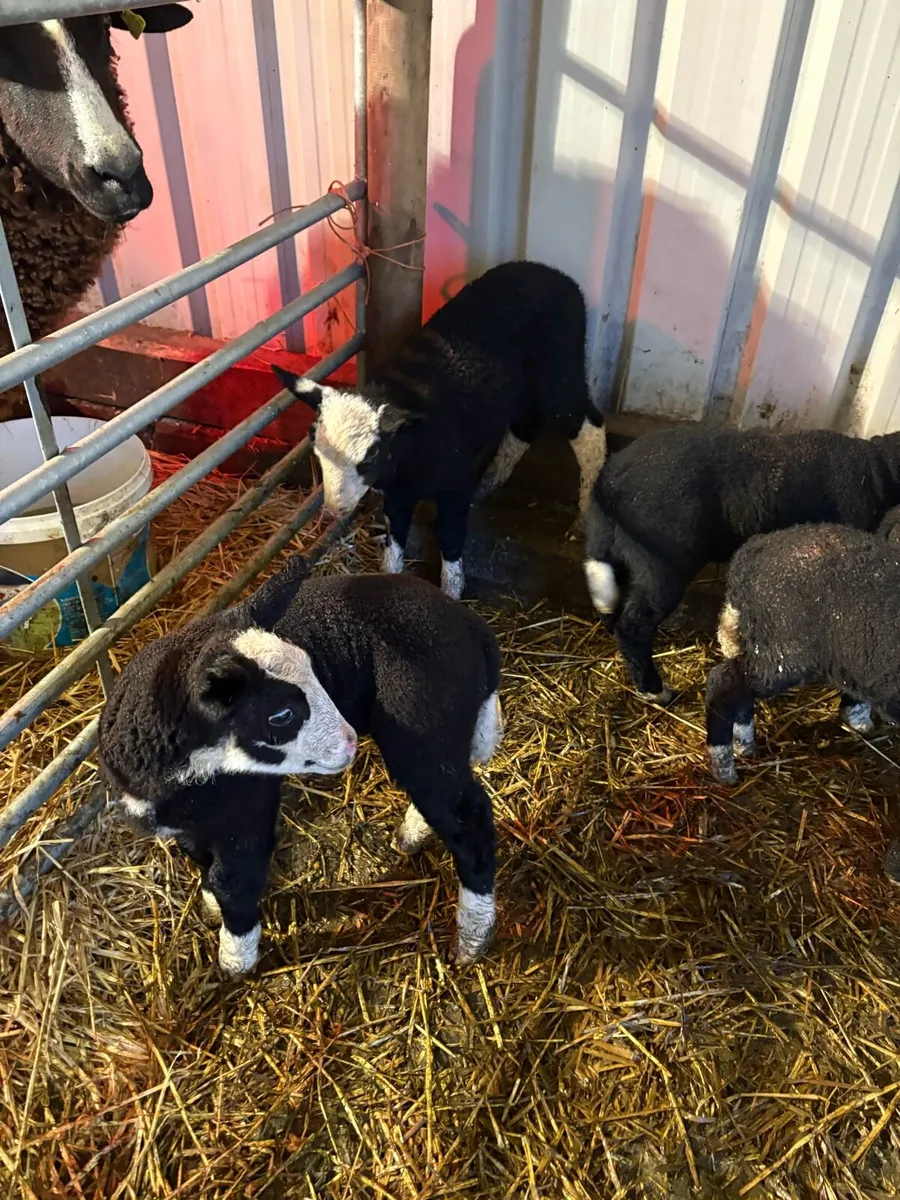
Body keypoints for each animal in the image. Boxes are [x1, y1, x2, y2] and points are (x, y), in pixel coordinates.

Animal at [99, 558, 504, 975]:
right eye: (281, 715)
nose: (349, 740)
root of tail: (474, 628)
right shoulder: (192, 825)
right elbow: (204, 864)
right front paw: (213, 906)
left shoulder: (247, 813)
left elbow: (233, 878)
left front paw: (236, 958)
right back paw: (412, 835)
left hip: (423, 727)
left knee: (467, 814)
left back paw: (473, 934)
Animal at [271, 260, 607, 601]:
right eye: (315, 447)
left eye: (372, 455)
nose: (334, 509)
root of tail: (553, 273)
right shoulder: (398, 495)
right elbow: (395, 538)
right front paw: (389, 577)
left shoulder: (455, 486)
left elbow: (449, 535)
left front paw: (450, 592)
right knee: (523, 427)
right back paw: (490, 481)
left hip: (561, 369)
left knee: (588, 427)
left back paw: (582, 517)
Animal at [584, 426, 900, 703]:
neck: (880, 468)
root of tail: (611, 480)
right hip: (663, 565)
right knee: (634, 625)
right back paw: (654, 689)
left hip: (606, 542)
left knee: (605, 596)